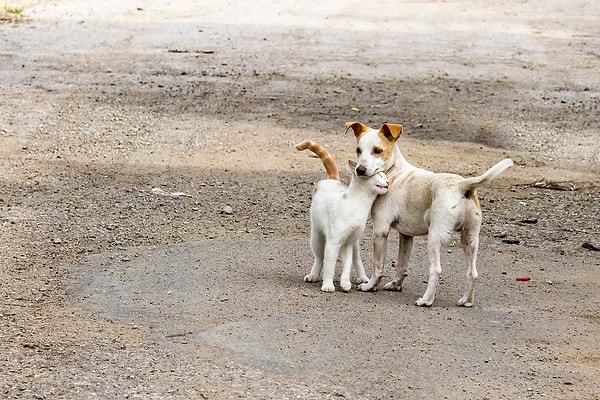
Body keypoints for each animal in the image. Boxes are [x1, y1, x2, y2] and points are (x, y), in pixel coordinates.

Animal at [296, 140, 390, 290]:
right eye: (380, 176)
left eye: (385, 176)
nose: (388, 182)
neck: (359, 204)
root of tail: (332, 180)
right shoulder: (333, 242)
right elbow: (329, 265)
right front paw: (328, 285)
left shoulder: (348, 244)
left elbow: (347, 264)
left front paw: (345, 282)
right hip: (317, 237)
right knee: (319, 257)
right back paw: (313, 275)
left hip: (355, 243)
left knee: (356, 259)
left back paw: (363, 278)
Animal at [344, 122, 512, 306]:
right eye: (358, 150)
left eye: (377, 150)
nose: (360, 170)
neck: (394, 173)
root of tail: (462, 185)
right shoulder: (406, 236)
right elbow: (402, 265)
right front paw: (396, 285)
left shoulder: (380, 230)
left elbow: (378, 266)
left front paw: (370, 286)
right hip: (470, 239)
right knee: (472, 273)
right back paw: (466, 301)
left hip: (434, 238)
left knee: (436, 270)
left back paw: (426, 300)